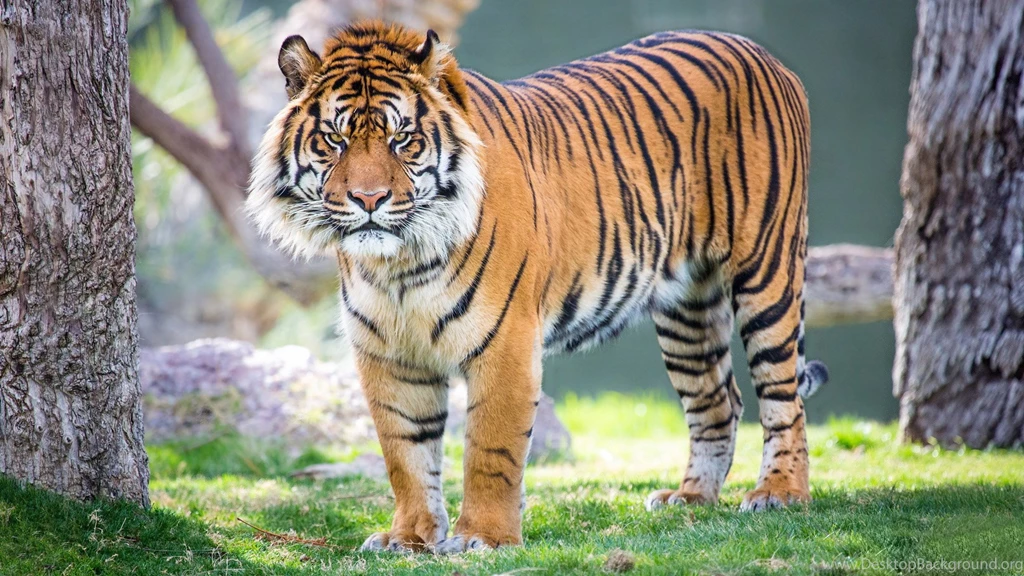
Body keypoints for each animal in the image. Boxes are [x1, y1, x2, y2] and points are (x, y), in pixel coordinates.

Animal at [247, 20, 829, 553]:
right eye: (335, 139)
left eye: (402, 139)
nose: (369, 200)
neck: (399, 265)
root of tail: (757, 50)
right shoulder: (388, 354)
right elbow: (405, 453)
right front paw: (408, 537)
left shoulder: (504, 341)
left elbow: (490, 449)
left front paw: (483, 538)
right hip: (687, 307)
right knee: (718, 400)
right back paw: (690, 498)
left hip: (767, 272)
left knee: (782, 397)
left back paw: (779, 493)